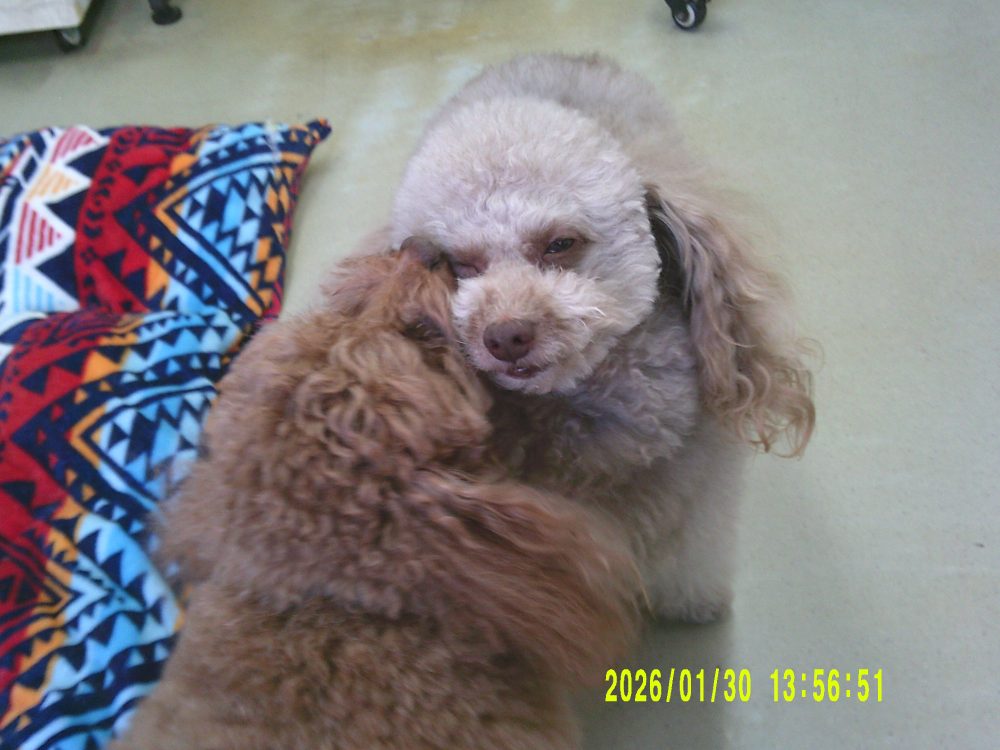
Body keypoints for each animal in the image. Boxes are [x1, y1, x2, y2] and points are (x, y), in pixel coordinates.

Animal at [387, 54, 816, 623]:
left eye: (560, 244)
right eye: (458, 265)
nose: (506, 336)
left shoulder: (699, 499)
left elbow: (690, 557)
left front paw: (694, 605)